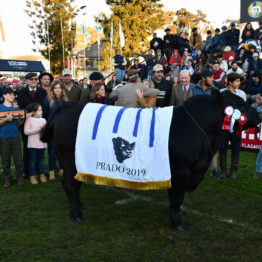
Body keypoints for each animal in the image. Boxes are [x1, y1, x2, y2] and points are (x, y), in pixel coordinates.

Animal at [40, 90, 260, 229]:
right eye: (239, 104)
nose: (258, 117)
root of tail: (66, 107)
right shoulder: (180, 173)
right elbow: (177, 199)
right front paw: (177, 222)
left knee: (75, 184)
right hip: (69, 161)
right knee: (70, 184)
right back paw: (77, 214)